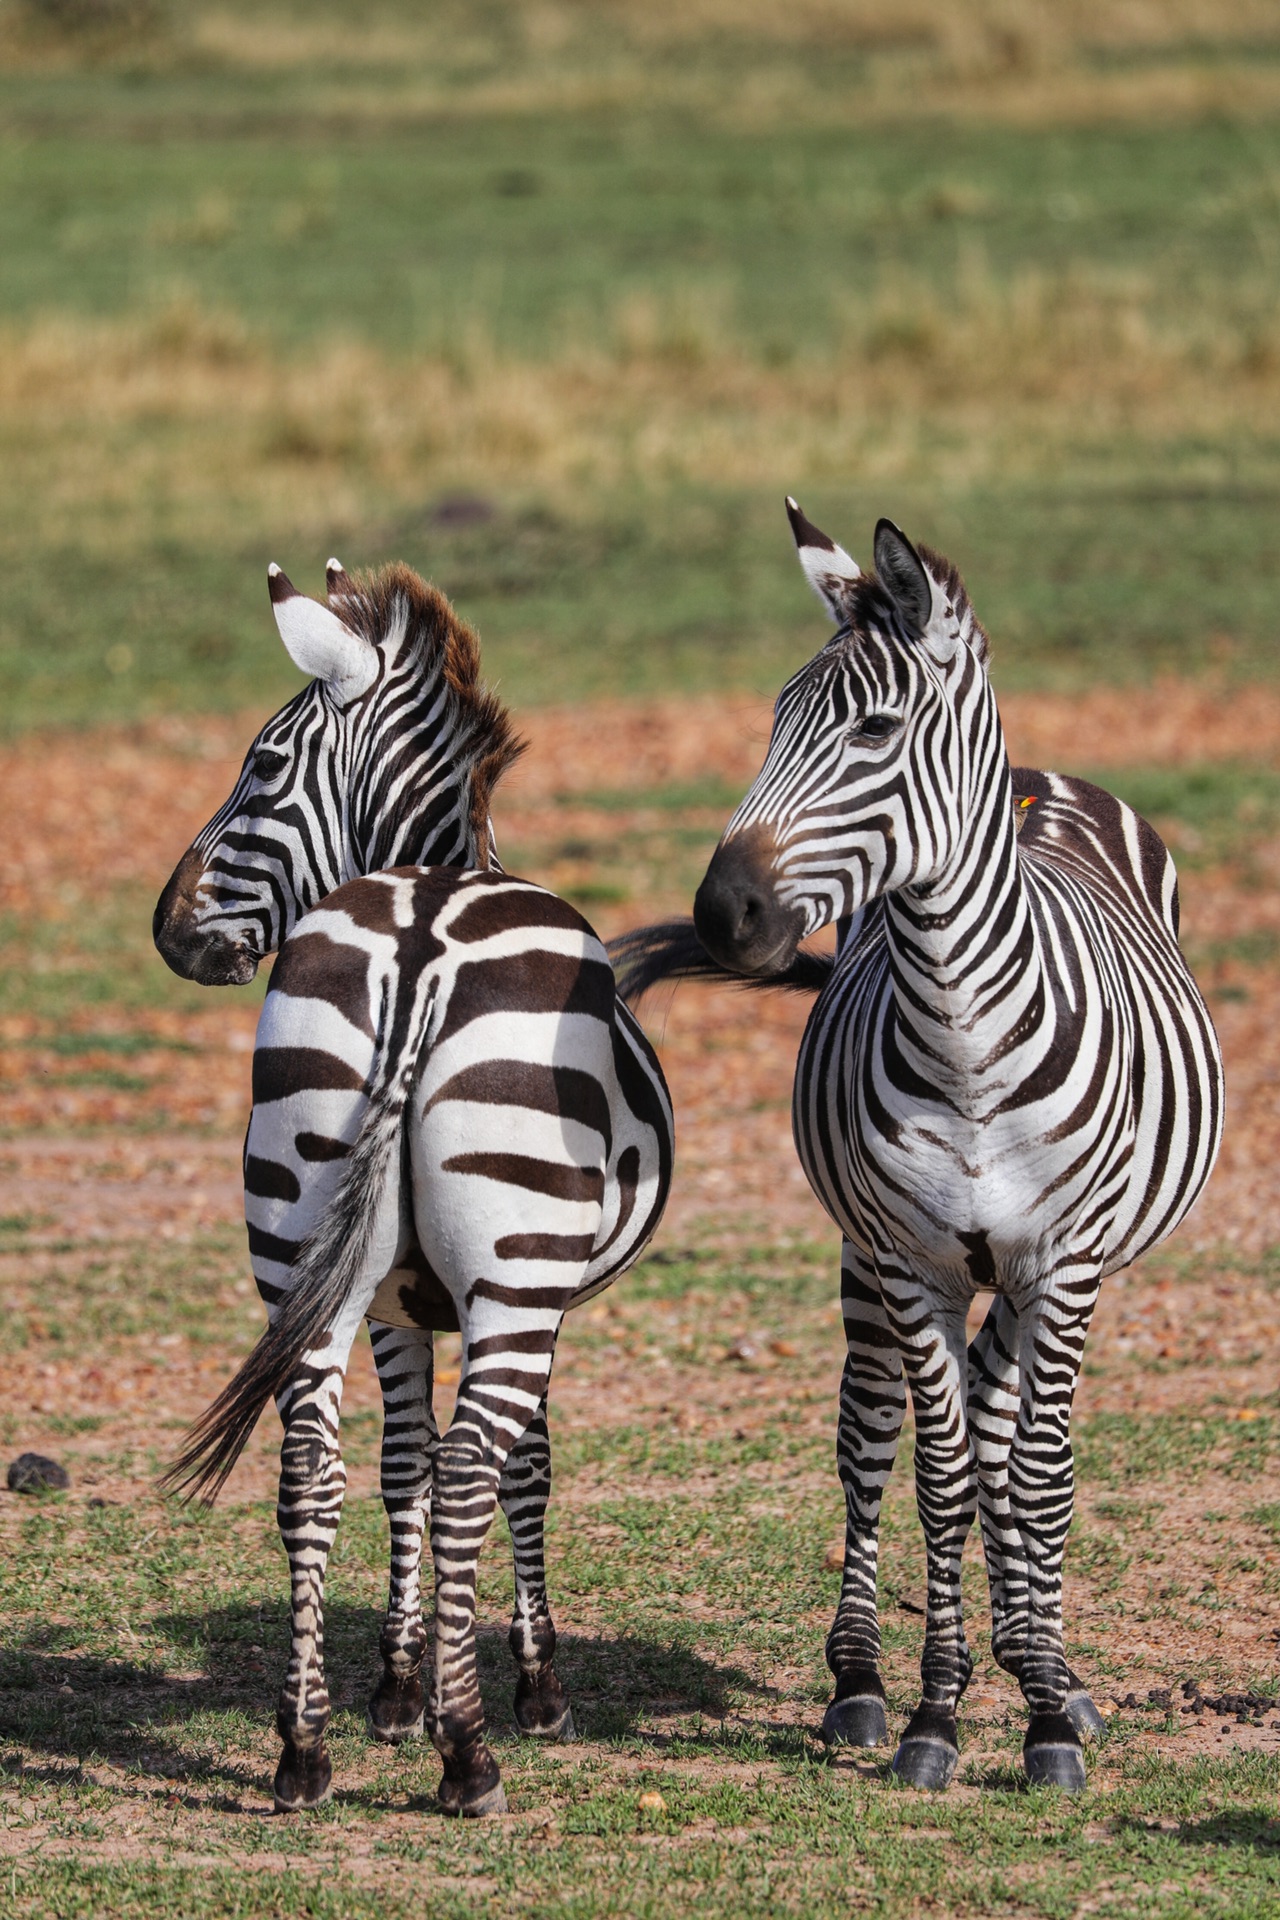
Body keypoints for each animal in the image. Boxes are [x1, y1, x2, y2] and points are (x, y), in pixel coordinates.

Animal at [155, 560, 675, 1820]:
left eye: (260, 765)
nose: (165, 928)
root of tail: (421, 942)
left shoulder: (391, 1300)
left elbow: (399, 1465)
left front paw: (392, 1688)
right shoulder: (536, 1296)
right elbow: (521, 1466)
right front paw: (527, 1687)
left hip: (304, 1242)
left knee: (310, 1467)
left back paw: (303, 1751)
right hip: (517, 1273)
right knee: (478, 1463)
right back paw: (469, 1757)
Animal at [614, 503, 1228, 1789]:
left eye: (873, 729)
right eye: (773, 721)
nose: (720, 915)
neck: (963, 1043)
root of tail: (1044, 780)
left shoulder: (1061, 1267)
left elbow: (1037, 1477)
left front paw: (1042, 1711)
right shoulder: (910, 1263)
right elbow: (934, 1476)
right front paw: (933, 1714)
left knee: (1005, 1430)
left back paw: (1048, 1665)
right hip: (869, 1262)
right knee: (867, 1433)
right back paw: (861, 1680)